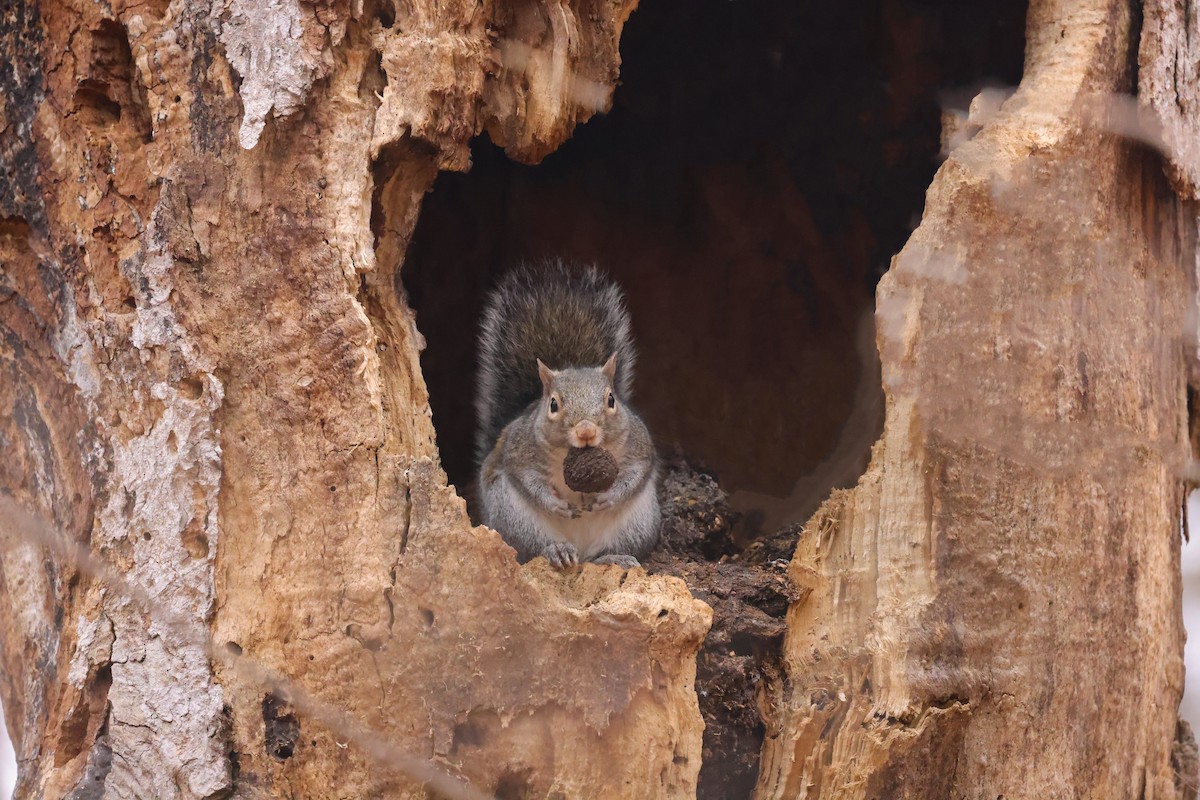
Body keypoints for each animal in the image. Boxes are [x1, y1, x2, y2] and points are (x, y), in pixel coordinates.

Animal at [475, 260, 660, 570]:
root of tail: (580, 551)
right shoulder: (519, 448)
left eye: (611, 399)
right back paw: (557, 551)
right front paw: (555, 504)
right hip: (514, 518)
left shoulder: (639, 443)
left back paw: (614, 557)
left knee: (602, 554)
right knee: (533, 548)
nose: (586, 431)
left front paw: (610, 497)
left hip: (638, 525)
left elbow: (636, 472)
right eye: (553, 404)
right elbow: (526, 478)